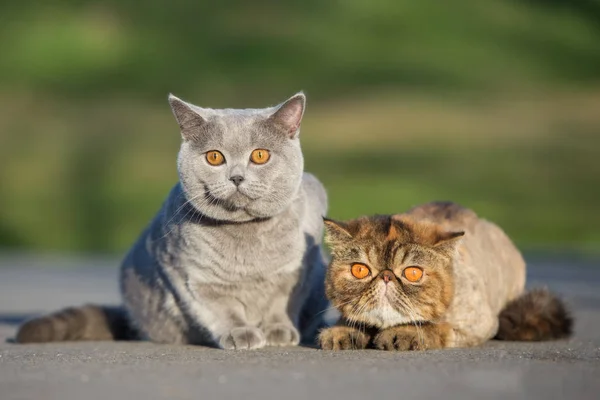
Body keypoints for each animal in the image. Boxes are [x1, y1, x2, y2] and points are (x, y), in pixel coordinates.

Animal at [15, 92, 328, 348]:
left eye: (260, 155)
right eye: (215, 157)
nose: (237, 177)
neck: (246, 237)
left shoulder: (300, 270)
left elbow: (281, 302)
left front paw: (278, 330)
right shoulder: (190, 275)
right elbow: (222, 308)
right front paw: (240, 332)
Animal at [318, 203, 572, 350]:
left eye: (412, 273)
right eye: (360, 270)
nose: (386, 276)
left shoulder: (479, 324)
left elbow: (436, 327)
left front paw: (405, 334)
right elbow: (353, 318)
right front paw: (343, 331)